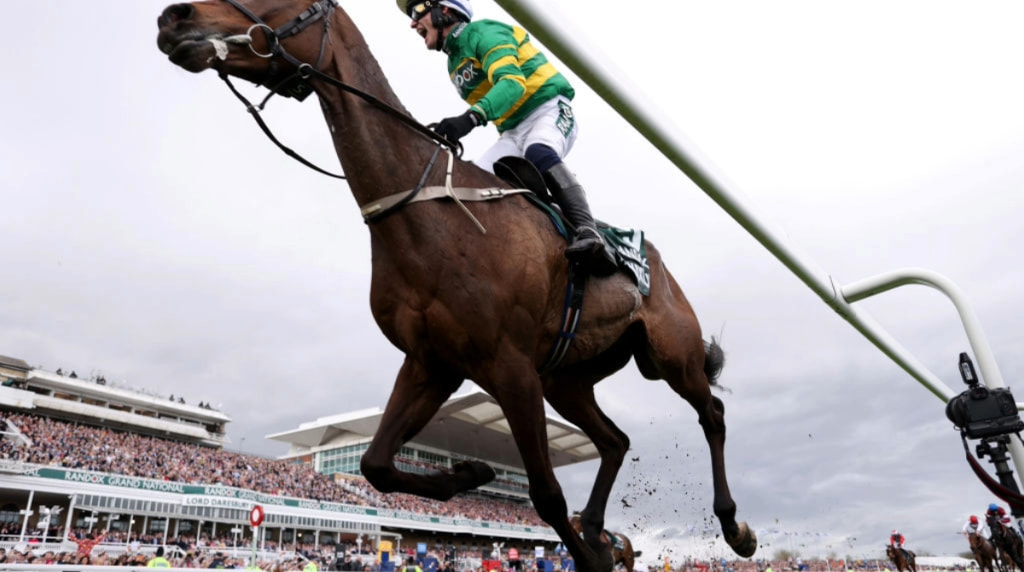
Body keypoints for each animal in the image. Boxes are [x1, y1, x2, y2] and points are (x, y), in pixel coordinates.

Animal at [155, 1, 757, 572]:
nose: (172, 17)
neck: (424, 211)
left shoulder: (508, 366)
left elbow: (546, 494)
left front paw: (587, 554)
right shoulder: (434, 361)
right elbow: (375, 463)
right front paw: (469, 473)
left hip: (673, 354)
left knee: (711, 414)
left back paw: (733, 527)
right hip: (567, 379)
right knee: (615, 440)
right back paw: (596, 530)